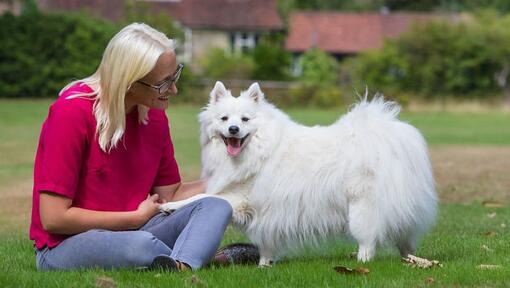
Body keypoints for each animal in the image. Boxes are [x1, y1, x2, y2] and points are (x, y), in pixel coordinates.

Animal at [161, 80, 436, 266]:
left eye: (245, 119)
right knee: (403, 235)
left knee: (368, 238)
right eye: (224, 118)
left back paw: (363, 261)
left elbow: (201, 198)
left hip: (362, 207)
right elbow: (265, 242)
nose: (233, 129)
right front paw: (264, 265)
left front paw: (169, 205)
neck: (256, 151)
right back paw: (410, 259)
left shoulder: (240, 199)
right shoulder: (263, 210)